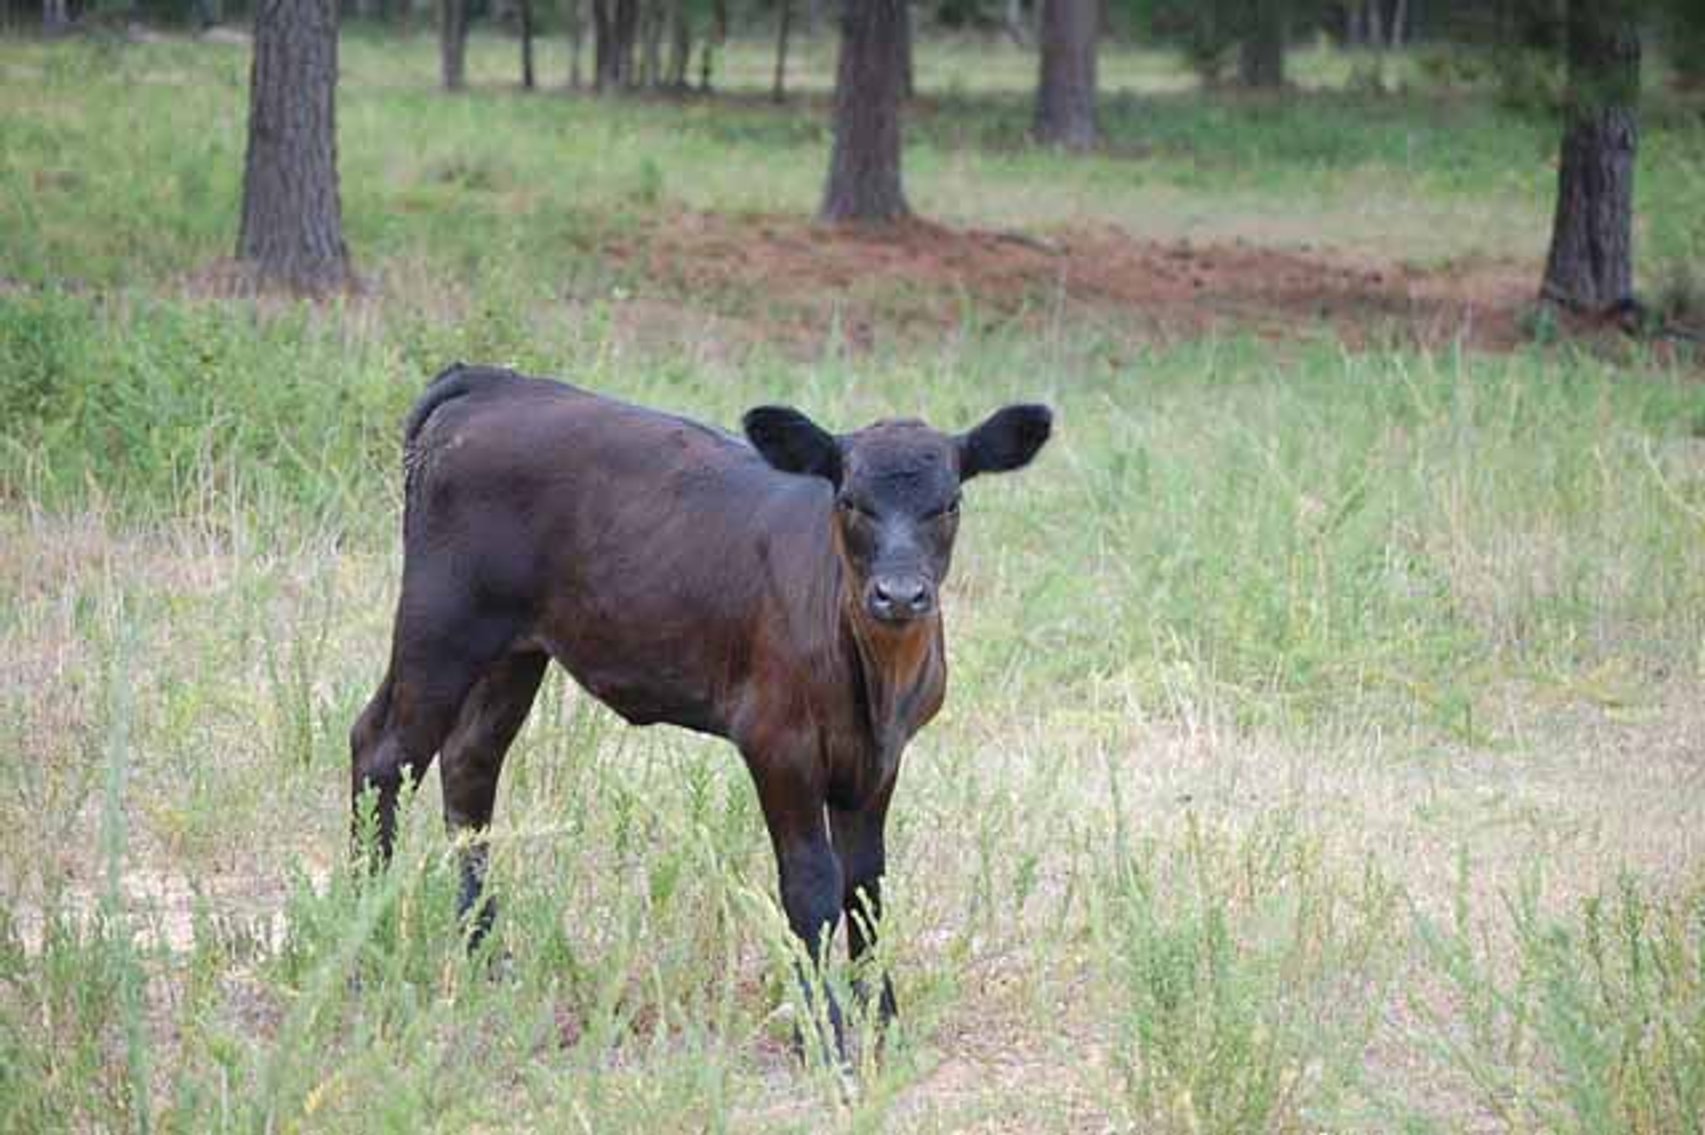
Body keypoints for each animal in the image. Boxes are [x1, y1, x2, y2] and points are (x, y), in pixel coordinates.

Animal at [349, 364, 1052, 1059]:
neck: (875, 681)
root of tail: (492, 381)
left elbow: (866, 888)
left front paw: (885, 1023)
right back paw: (363, 942)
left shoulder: (881, 756)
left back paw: (487, 954)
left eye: (950, 503)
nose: (900, 595)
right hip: (442, 624)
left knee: (470, 764)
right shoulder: (777, 741)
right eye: (850, 501)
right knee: (382, 752)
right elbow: (811, 885)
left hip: (515, 650)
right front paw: (823, 1034)